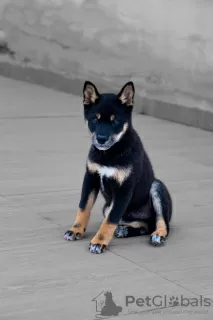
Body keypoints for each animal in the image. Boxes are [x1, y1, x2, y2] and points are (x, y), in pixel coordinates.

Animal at [64, 81, 172, 254]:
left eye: (115, 121)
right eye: (95, 120)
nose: (101, 139)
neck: (109, 153)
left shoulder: (124, 188)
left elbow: (110, 220)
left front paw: (98, 242)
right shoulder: (90, 178)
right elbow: (83, 207)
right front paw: (76, 230)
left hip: (157, 187)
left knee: (161, 222)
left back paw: (158, 235)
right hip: (108, 207)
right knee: (143, 225)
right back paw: (125, 230)